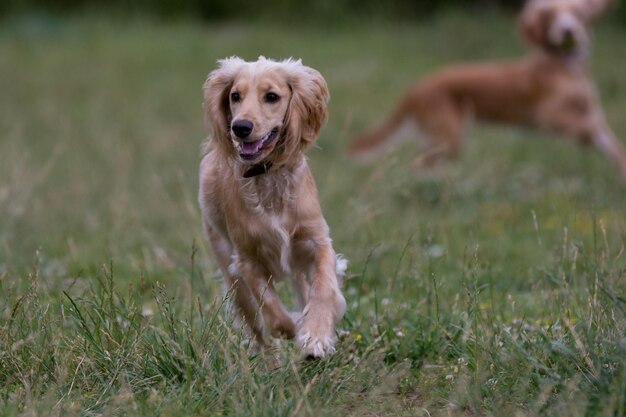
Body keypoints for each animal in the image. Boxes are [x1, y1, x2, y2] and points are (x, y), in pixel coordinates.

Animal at [199, 56, 346, 358]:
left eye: (272, 96)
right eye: (235, 96)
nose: (240, 127)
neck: (268, 179)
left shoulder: (316, 241)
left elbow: (324, 288)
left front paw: (315, 335)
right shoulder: (246, 260)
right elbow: (271, 310)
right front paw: (294, 326)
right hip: (228, 266)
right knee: (255, 324)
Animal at [346, 0, 624, 178]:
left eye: (578, 12)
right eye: (549, 16)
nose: (567, 30)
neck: (565, 66)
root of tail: (416, 87)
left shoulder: (593, 113)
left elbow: (611, 145)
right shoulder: (547, 115)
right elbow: (589, 128)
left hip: (440, 139)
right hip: (449, 137)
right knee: (418, 166)